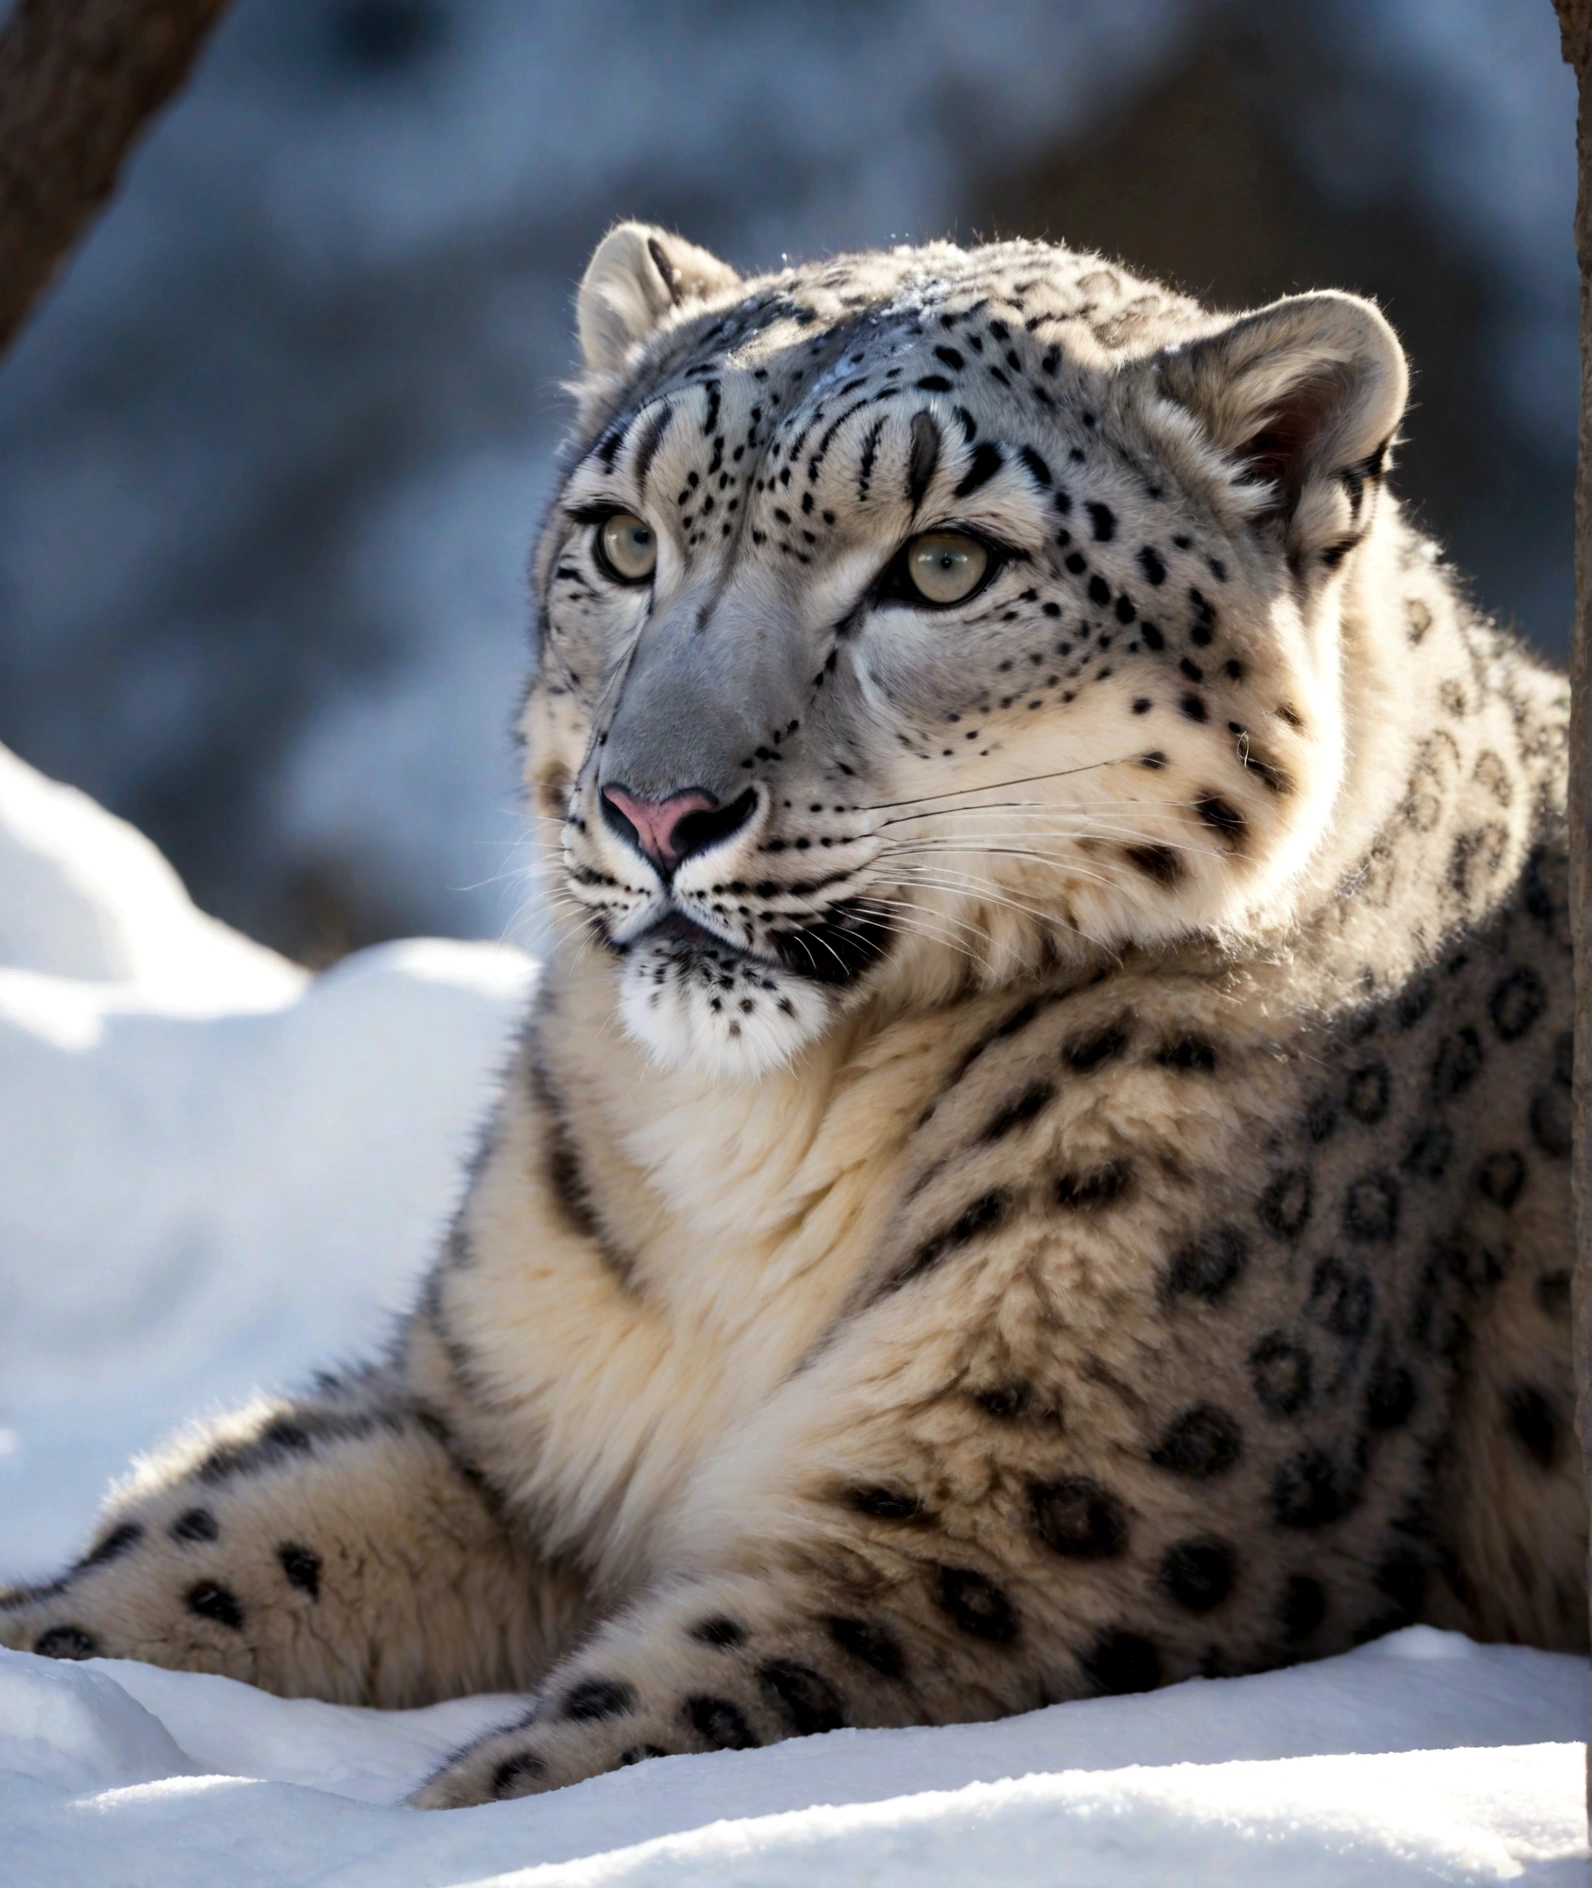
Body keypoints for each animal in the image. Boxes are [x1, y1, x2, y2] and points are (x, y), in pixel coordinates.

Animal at [6, 220, 1586, 1797]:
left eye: (943, 564)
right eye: (623, 542)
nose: (655, 808)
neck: (753, 1155)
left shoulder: (1002, 1541)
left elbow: (599, 1747)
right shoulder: (489, 1434)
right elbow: (197, 1555)